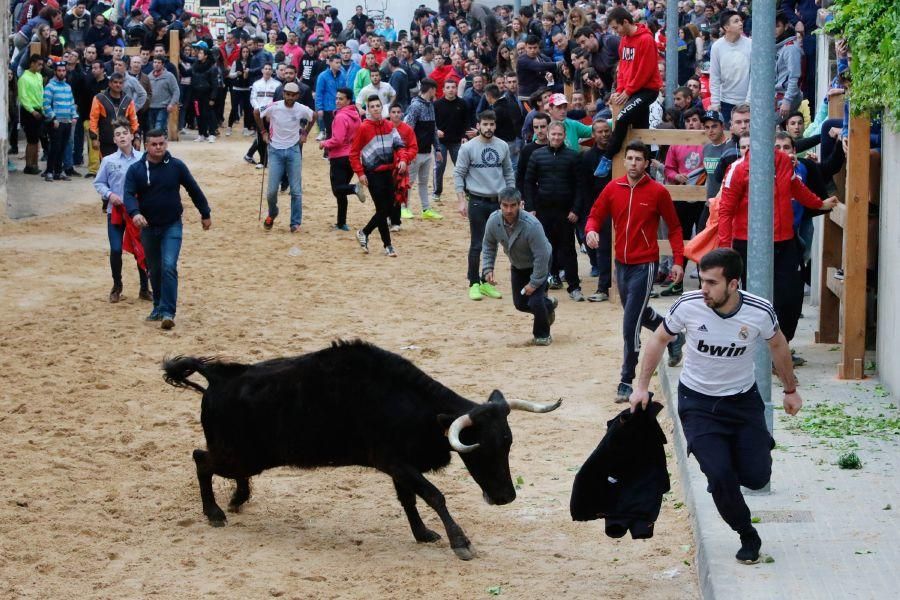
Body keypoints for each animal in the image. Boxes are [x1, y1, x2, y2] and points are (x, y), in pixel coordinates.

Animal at [161, 340, 556, 560]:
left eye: (507, 444)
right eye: (479, 448)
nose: (506, 497)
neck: (410, 404)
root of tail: (217, 378)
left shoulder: (399, 466)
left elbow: (409, 499)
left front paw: (422, 534)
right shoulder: (395, 461)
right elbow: (433, 495)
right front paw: (460, 542)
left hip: (247, 457)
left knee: (223, 469)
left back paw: (237, 499)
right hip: (237, 454)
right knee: (201, 460)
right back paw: (214, 512)